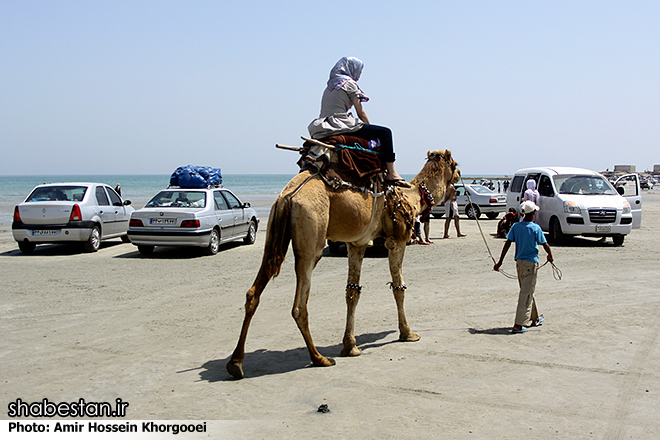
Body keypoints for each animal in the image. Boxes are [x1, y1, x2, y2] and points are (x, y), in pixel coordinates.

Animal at [226, 150, 458, 376]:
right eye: (454, 164)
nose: (458, 175)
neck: (412, 197)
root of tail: (288, 196)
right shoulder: (397, 239)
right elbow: (399, 287)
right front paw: (408, 333)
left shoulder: (357, 243)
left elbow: (352, 291)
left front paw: (350, 346)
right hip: (312, 240)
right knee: (299, 305)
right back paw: (319, 358)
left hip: (274, 235)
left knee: (254, 292)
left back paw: (236, 363)